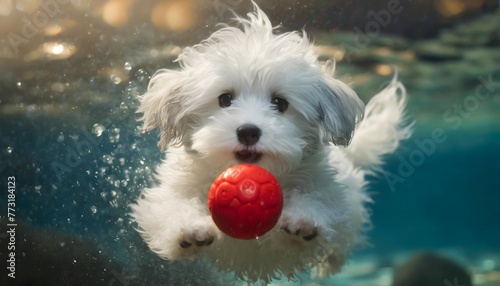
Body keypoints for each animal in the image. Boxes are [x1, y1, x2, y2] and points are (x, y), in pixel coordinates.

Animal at [131, 3, 412, 284]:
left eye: (280, 103)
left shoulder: (328, 190)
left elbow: (319, 201)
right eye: (225, 99)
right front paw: (188, 230)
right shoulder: (173, 188)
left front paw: (302, 222)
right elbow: (170, 205)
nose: (248, 132)